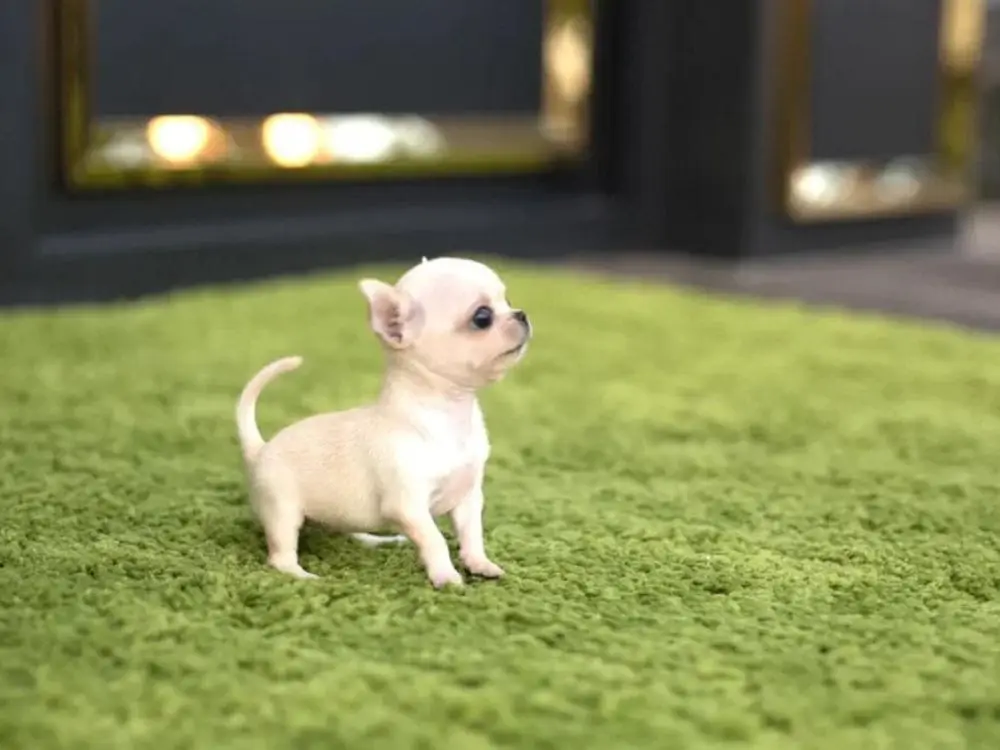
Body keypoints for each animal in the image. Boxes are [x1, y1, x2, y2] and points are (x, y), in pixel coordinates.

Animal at [234, 257, 531, 588]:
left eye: (507, 301)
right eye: (482, 317)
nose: (521, 314)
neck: (449, 413)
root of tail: (260, 448)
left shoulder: (467, 498)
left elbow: (471, 535)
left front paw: (479, 564)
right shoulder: (409, 507)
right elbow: (436, 539)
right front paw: (446, 577)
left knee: (350, 529)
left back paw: (378, 540)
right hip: (282, 511)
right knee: (280, 557)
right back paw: (306, 576)